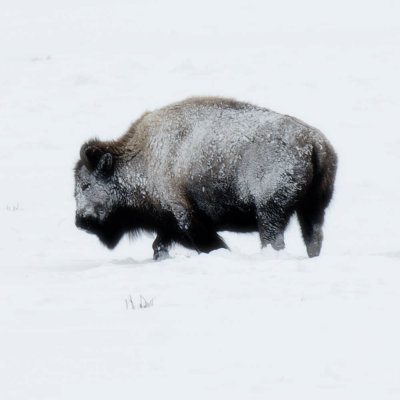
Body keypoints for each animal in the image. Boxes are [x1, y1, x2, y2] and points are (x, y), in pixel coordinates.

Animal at [74, 97, 338, 260]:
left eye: (86, 185)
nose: (80, 222)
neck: (144, 157)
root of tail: (314, 142)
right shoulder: (168, 224)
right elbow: (159, 244)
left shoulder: (186, 216)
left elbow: (207, 244)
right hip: (312, 208)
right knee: (313, 237)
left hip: (269, 212)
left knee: (274, 241)